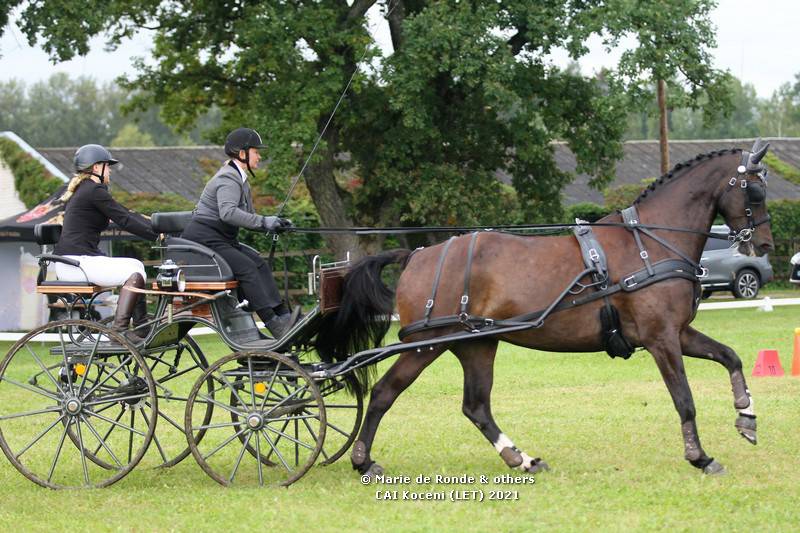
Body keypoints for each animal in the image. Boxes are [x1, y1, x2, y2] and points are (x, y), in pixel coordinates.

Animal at [314, 140, 773, 478]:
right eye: (754, 190)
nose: (765, 245)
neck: (650, 242)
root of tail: (418, 255)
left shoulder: (677, 332)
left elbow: (730, 357)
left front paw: (746, 416)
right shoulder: (661, 338)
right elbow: (684, 398)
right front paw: (700, 457)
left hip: (476, 345)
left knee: (475, 406)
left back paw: (522, 458)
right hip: (427, 343)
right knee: (383, 393)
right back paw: (363, 462)